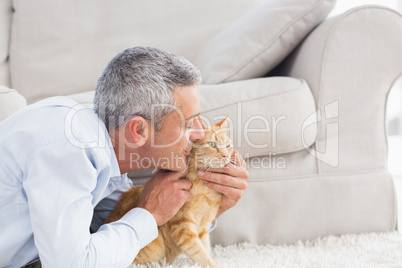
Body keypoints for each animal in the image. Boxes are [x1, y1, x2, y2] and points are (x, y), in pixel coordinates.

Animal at [105, 114, 234, 266]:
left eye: (228, 145)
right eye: (212, 145)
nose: (226, 156)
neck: (206, 191)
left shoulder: (203, 227)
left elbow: (205, 246)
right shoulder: (182, 226)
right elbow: (199, 251)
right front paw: (212, 264)